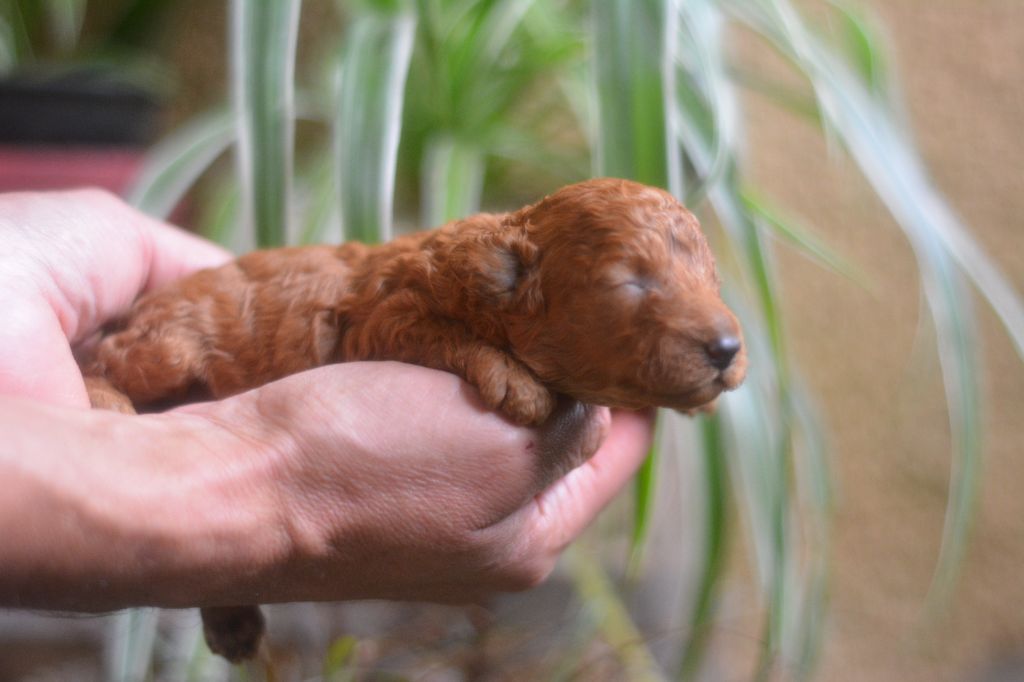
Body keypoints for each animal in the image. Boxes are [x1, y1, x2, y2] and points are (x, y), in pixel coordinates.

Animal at [83, 175, 749, 659]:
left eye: (712, 279)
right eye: (631, 284)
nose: (727, 348)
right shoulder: (377, 322)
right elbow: (436, 335)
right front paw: (513, 379)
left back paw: (236, 628)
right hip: (169, 344)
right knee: (103, 358)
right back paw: (106, 400)